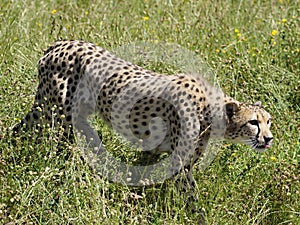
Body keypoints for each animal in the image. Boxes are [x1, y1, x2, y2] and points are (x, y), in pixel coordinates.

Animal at [14, 39, 274, 198]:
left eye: (268, 121)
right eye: (253, 122)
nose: (269, 138)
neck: (209, 110)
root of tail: (60, 43)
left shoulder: (154, 151)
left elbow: (141, 173)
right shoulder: (181, 165)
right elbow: (191, 199)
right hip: (62, 117)